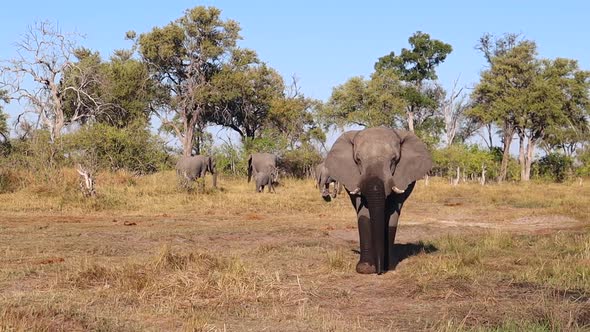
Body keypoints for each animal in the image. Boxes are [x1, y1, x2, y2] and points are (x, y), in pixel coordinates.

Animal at [326, 127, 432, 274]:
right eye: (358, 160)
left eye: (394, 159)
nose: (379, 271)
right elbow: (364, 213)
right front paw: (365, 268)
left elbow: (392, 215)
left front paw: (390, 267)